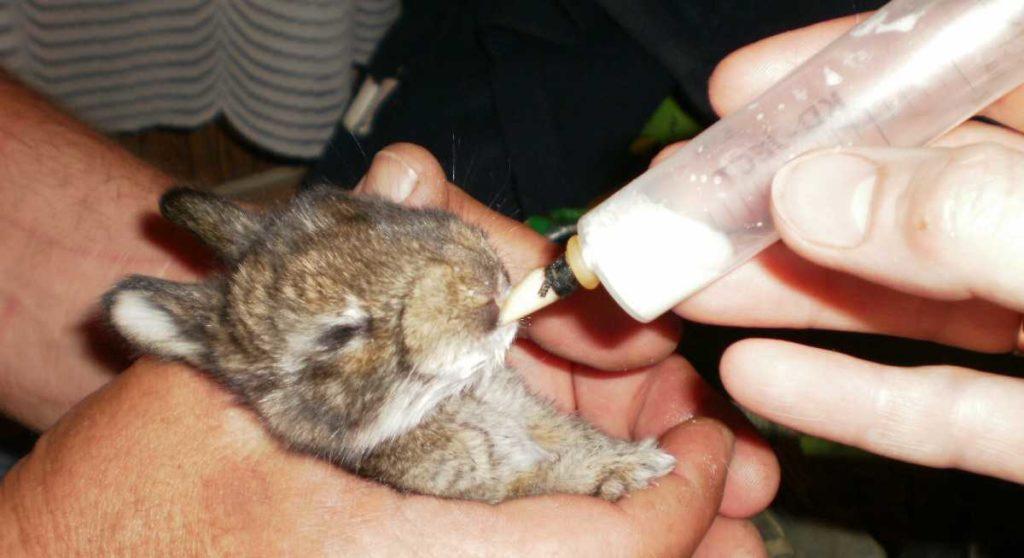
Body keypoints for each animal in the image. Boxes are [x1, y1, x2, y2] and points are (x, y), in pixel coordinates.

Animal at [103, 186, 675, 499]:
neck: (445, 402)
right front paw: (634, 469)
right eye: (339, 334)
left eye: (373, 210)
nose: (483, 281)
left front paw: (632, 456)